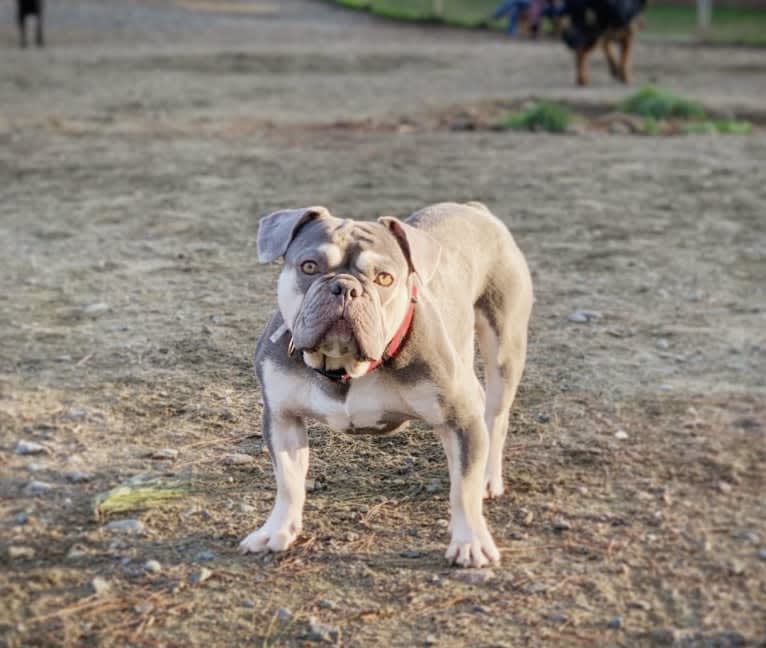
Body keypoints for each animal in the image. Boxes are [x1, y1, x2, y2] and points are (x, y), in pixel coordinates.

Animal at [240, 202, 536, 568]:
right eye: (309, 266)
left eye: (384, 278)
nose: (345, 287)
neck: (345, 366)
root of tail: (474, 208)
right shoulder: (282, 418)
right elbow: (289, 480)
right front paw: (277, 531)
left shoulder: (460, 418)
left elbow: (463, 489)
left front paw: (471, 541)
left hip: (503, 346)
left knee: (495, 415)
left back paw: (489, 476)